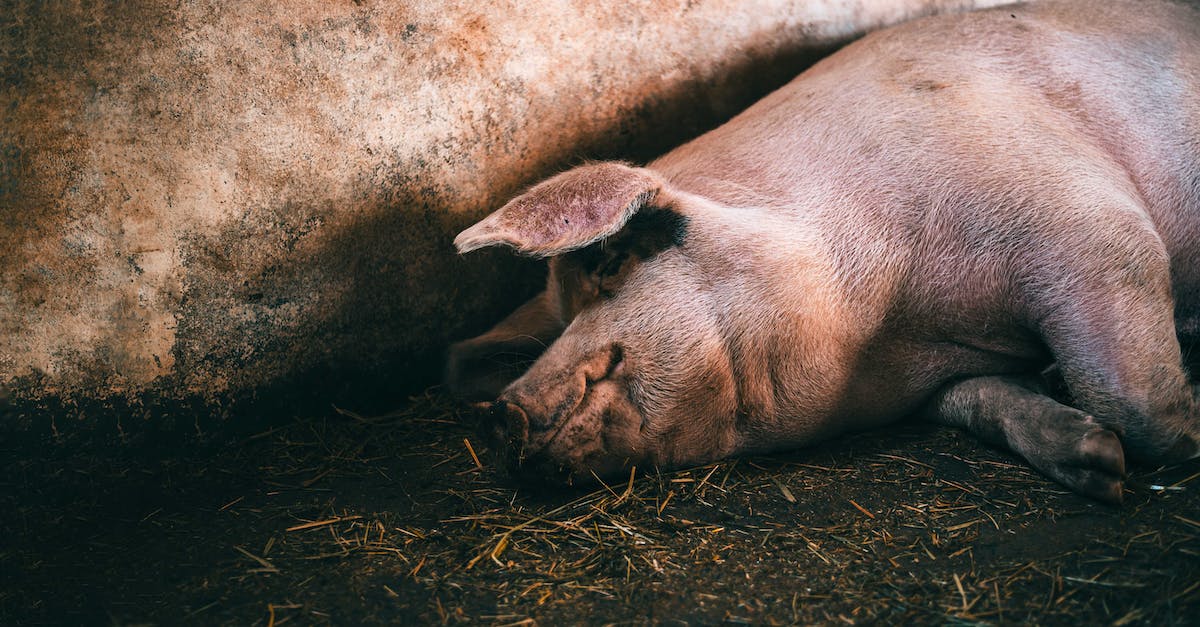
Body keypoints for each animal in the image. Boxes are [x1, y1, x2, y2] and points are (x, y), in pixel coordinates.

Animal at [444, 0, 1200, 499]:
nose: (504, 411)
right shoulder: (939, 375)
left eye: (607, 262)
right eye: (559, 311)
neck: (895, 325)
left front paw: (1184, 438)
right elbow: (982, 399)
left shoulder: (1088, 224)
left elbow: (1131, 397)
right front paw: (1099, 461)